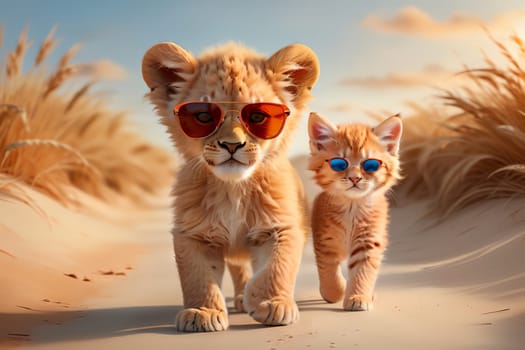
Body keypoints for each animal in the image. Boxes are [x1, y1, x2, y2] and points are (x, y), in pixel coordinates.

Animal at [308, 111, 402, 308]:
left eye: (371, 165)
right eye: (339, 164)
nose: (355, 178)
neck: (352, 207)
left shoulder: (369, 241)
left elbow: (362, 271)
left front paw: (358, 296)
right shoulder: (324, 242)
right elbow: (328, 271)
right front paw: (335, 292)